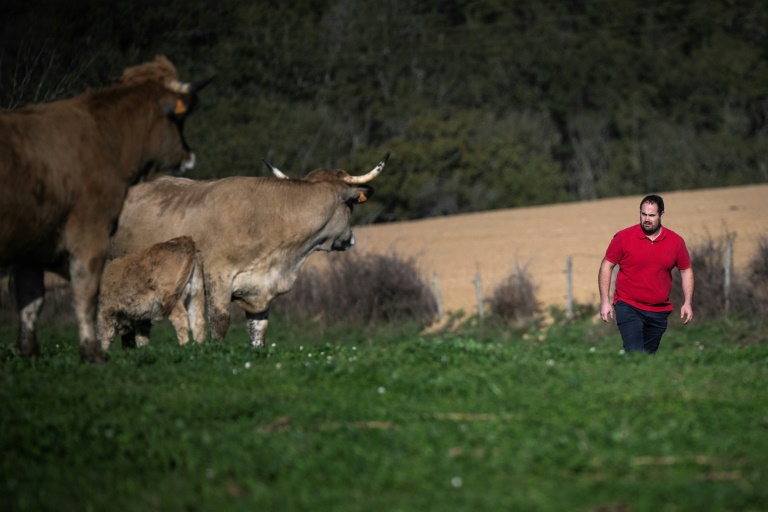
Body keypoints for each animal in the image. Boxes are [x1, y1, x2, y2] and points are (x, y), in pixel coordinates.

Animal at [0, 56, 210, 364]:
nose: (186, 156)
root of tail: (186, 241)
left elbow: (101, 326)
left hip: (175, 298)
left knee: (182, 320)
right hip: (194, 295)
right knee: (198, 322)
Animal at [109, 153, 390, 348]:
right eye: (351, 206)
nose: (350, 239)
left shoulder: (259, 288)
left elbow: (258, 331)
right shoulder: (218, 277)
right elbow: (219, 323)